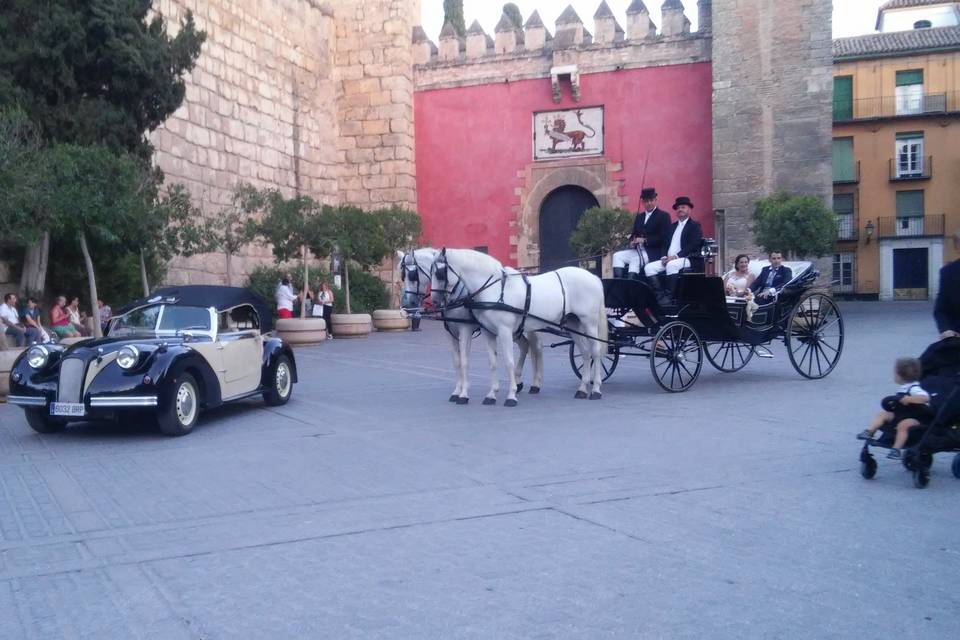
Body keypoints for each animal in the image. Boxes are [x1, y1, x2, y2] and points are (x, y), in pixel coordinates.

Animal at [398, 249, 532, 404]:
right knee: (525, 345)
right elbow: (457, 361)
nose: (410, 303)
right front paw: (457, 391)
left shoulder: (465, 330)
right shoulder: (450, 333)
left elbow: (464, 361)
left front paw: (464, 393)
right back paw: (519, 382)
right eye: (403, 276)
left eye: (413, 275)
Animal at [434, 246, 608, 404]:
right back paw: (582, 389)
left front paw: (511, 395)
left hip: (589, 323)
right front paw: (491, 394)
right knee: (585, 353)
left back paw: (596, 389)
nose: (435, 300)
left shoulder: (503, 331)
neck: (495, 289)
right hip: (573, 324)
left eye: (440, 273)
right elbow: (492, 362)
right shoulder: (488, 332)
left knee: (595, 351)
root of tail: (593, 277)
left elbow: (509, 361)